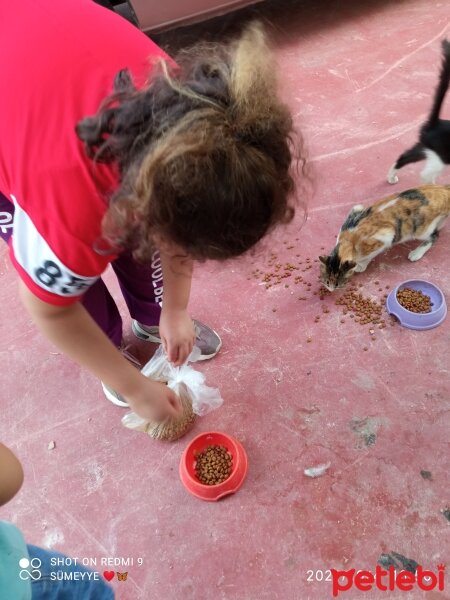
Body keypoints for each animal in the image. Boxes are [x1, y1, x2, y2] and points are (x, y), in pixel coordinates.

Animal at [318, 185, 450, 292]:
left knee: (434, 236)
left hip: (420, 229)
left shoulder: (386, 236)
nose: (330, 289)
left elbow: (368, 256)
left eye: (337, 284)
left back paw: (416, 253)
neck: (349, 242)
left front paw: (360, 265)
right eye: (327, 281)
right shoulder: (356, 210)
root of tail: (444, 190)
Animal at [386, 38, 450, 184]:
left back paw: (391, 176)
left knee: (404, 156)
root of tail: (435, 123)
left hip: (427, 149)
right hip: (440, 157)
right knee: (425, 174)